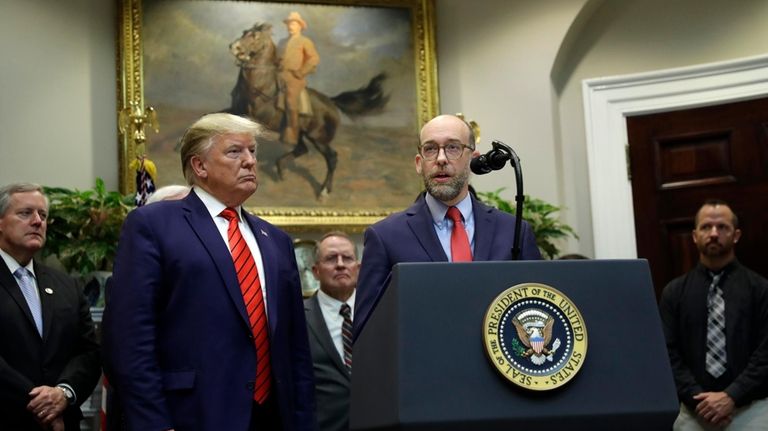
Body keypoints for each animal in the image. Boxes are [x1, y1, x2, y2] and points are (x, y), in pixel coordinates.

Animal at [225, 23, 388, 197]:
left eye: (255, 36)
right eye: (244, 32)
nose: (234, 47)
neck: (262, 85)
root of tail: (331, 102)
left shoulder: (255, 117)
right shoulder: (234, 110)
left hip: (318, 138)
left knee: (331, 157)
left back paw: (324, 191)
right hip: (300, 132)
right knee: (301, 149)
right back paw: (281, 169)